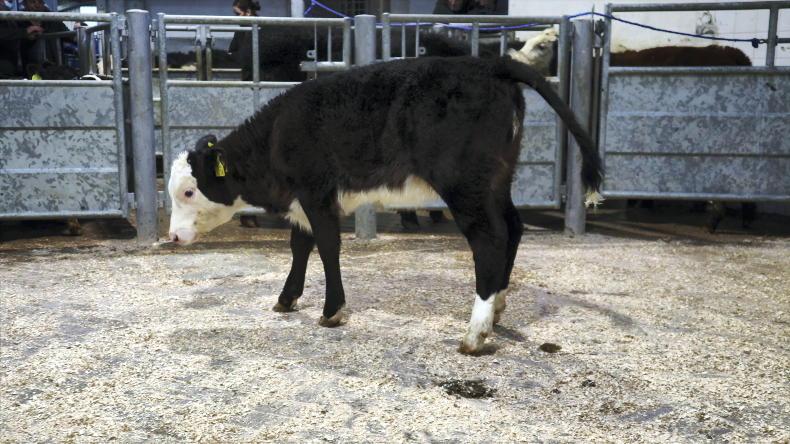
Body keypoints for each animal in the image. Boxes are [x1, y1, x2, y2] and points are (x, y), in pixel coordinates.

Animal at [166, 56, 602, 354]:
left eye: (188, 192)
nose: (172, 236)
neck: (276, 136)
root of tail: (489, 62)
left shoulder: (316, 193)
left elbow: (327, 246)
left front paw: (331, 310)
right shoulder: (303, 201)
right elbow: (300, 247)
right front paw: (287, 299)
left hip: (466, 185)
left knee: (489, 239)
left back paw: (475, 332)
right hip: (496, 181)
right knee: (512, 227)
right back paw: (497, 306)